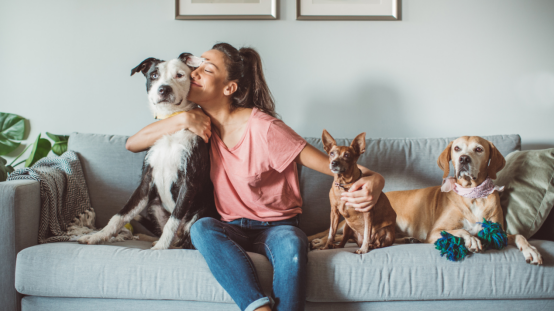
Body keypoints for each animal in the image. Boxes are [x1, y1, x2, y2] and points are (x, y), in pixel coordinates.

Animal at [78, 52, 219, 250]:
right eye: (154, 75)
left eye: (180, 75)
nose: (164, 89)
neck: (170, 124)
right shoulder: (146, 182)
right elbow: (120, 215)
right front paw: (98, 235)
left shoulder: (189, 182)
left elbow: (173, 221)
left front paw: (160, 248)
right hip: (154, 204)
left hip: (200, 213)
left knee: (186, 241)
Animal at [308, 136, 540, 266]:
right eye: (457, 148)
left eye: (479, 149)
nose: (464, 159)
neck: (472, 195)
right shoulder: (436, 232)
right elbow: (460, 230)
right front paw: (472, 239)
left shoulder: (498, 232)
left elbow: (519, 236)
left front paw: (531, 250)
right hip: (346, 224)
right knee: (333, 234)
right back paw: (319, 242)